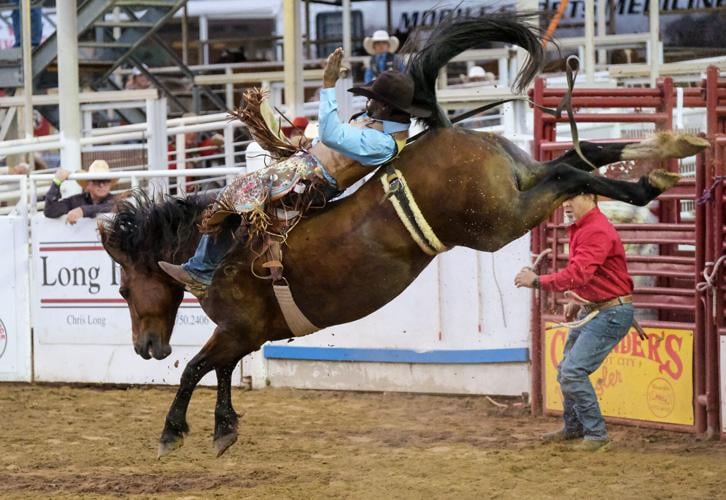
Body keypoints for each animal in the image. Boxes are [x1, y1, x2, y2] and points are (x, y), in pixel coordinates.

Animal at [98, 14, 712, 458]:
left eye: (124, 289)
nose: (145, 348)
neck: (229, 246)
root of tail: (440, 125)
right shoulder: (244, 334)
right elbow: (219, 372)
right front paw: (224, 429)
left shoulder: (238, 328)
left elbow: (196, 369)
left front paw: (172, 433)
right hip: (516, 181)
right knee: (577, 159)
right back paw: (665, 157)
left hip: (501, 220)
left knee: (569, 175)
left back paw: (649, 180)